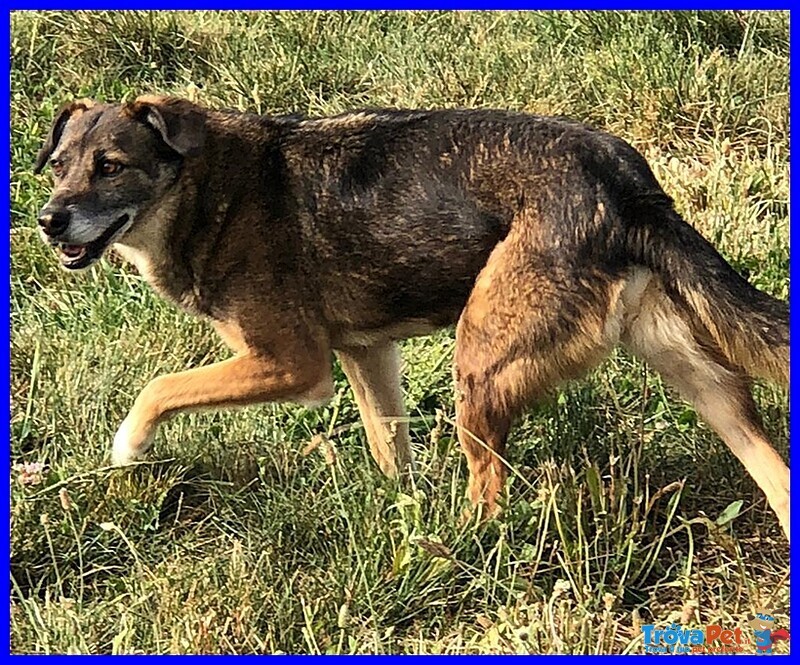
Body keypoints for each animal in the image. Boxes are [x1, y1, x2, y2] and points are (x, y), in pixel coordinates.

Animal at [32, 94, 788, 540]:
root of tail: (623, 180)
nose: (47, 220)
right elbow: (389, 447)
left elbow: (157, 388)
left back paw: (459, 547)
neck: (207, 188)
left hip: (479, 365)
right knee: (767, 457)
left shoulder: (292, 364)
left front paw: (127, 450)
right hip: (696, 373)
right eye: (60, 165)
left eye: (111, 166)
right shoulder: (366, 355)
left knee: (492, 494)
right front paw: (400, 509)